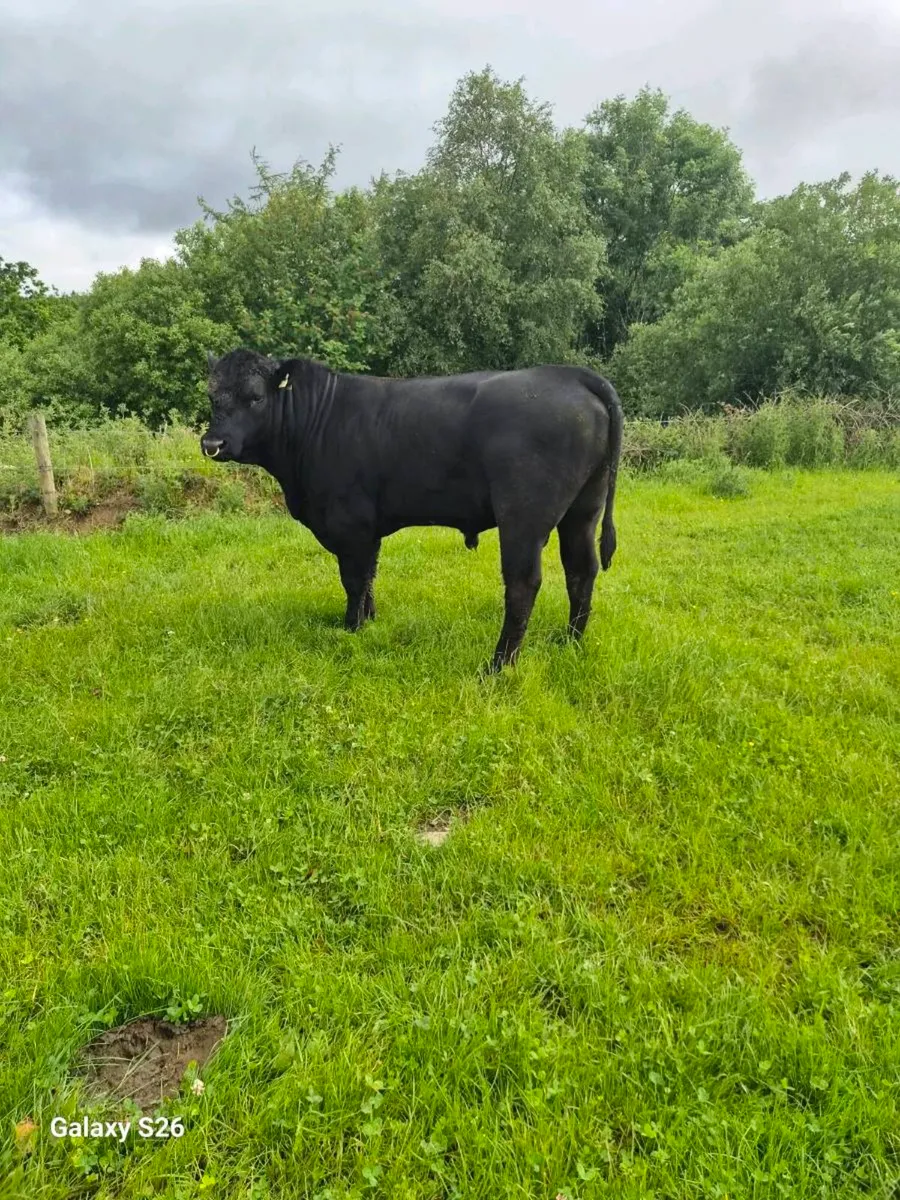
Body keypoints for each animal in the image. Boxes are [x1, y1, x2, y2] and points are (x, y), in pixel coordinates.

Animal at [201, 350, 623, 672]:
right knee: (581, 571)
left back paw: (499, 665)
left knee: (523, 584)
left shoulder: (350, 523)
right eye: (212, 397)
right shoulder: (369, 529)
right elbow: (369, 577)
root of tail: (568, 374)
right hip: (582, 510)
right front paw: (369, 621)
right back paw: (569, 641)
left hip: (523, 517)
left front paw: (351, 629)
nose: (212, 443)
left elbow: (353, 580)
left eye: (255, 396)